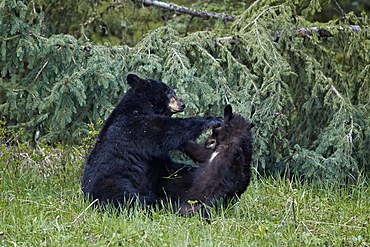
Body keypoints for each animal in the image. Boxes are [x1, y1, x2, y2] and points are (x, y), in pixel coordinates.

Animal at [81, 74, 223, 208]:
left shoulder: (154, 159)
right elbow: (166, 129)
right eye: (168, 92)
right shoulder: (136, 125)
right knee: (125, 197)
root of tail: (86, 195)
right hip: (114, 180)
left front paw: (187, 166)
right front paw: (213, 119)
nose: (182, 105)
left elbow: (164, 163)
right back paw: (159, 202)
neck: (140, 105)